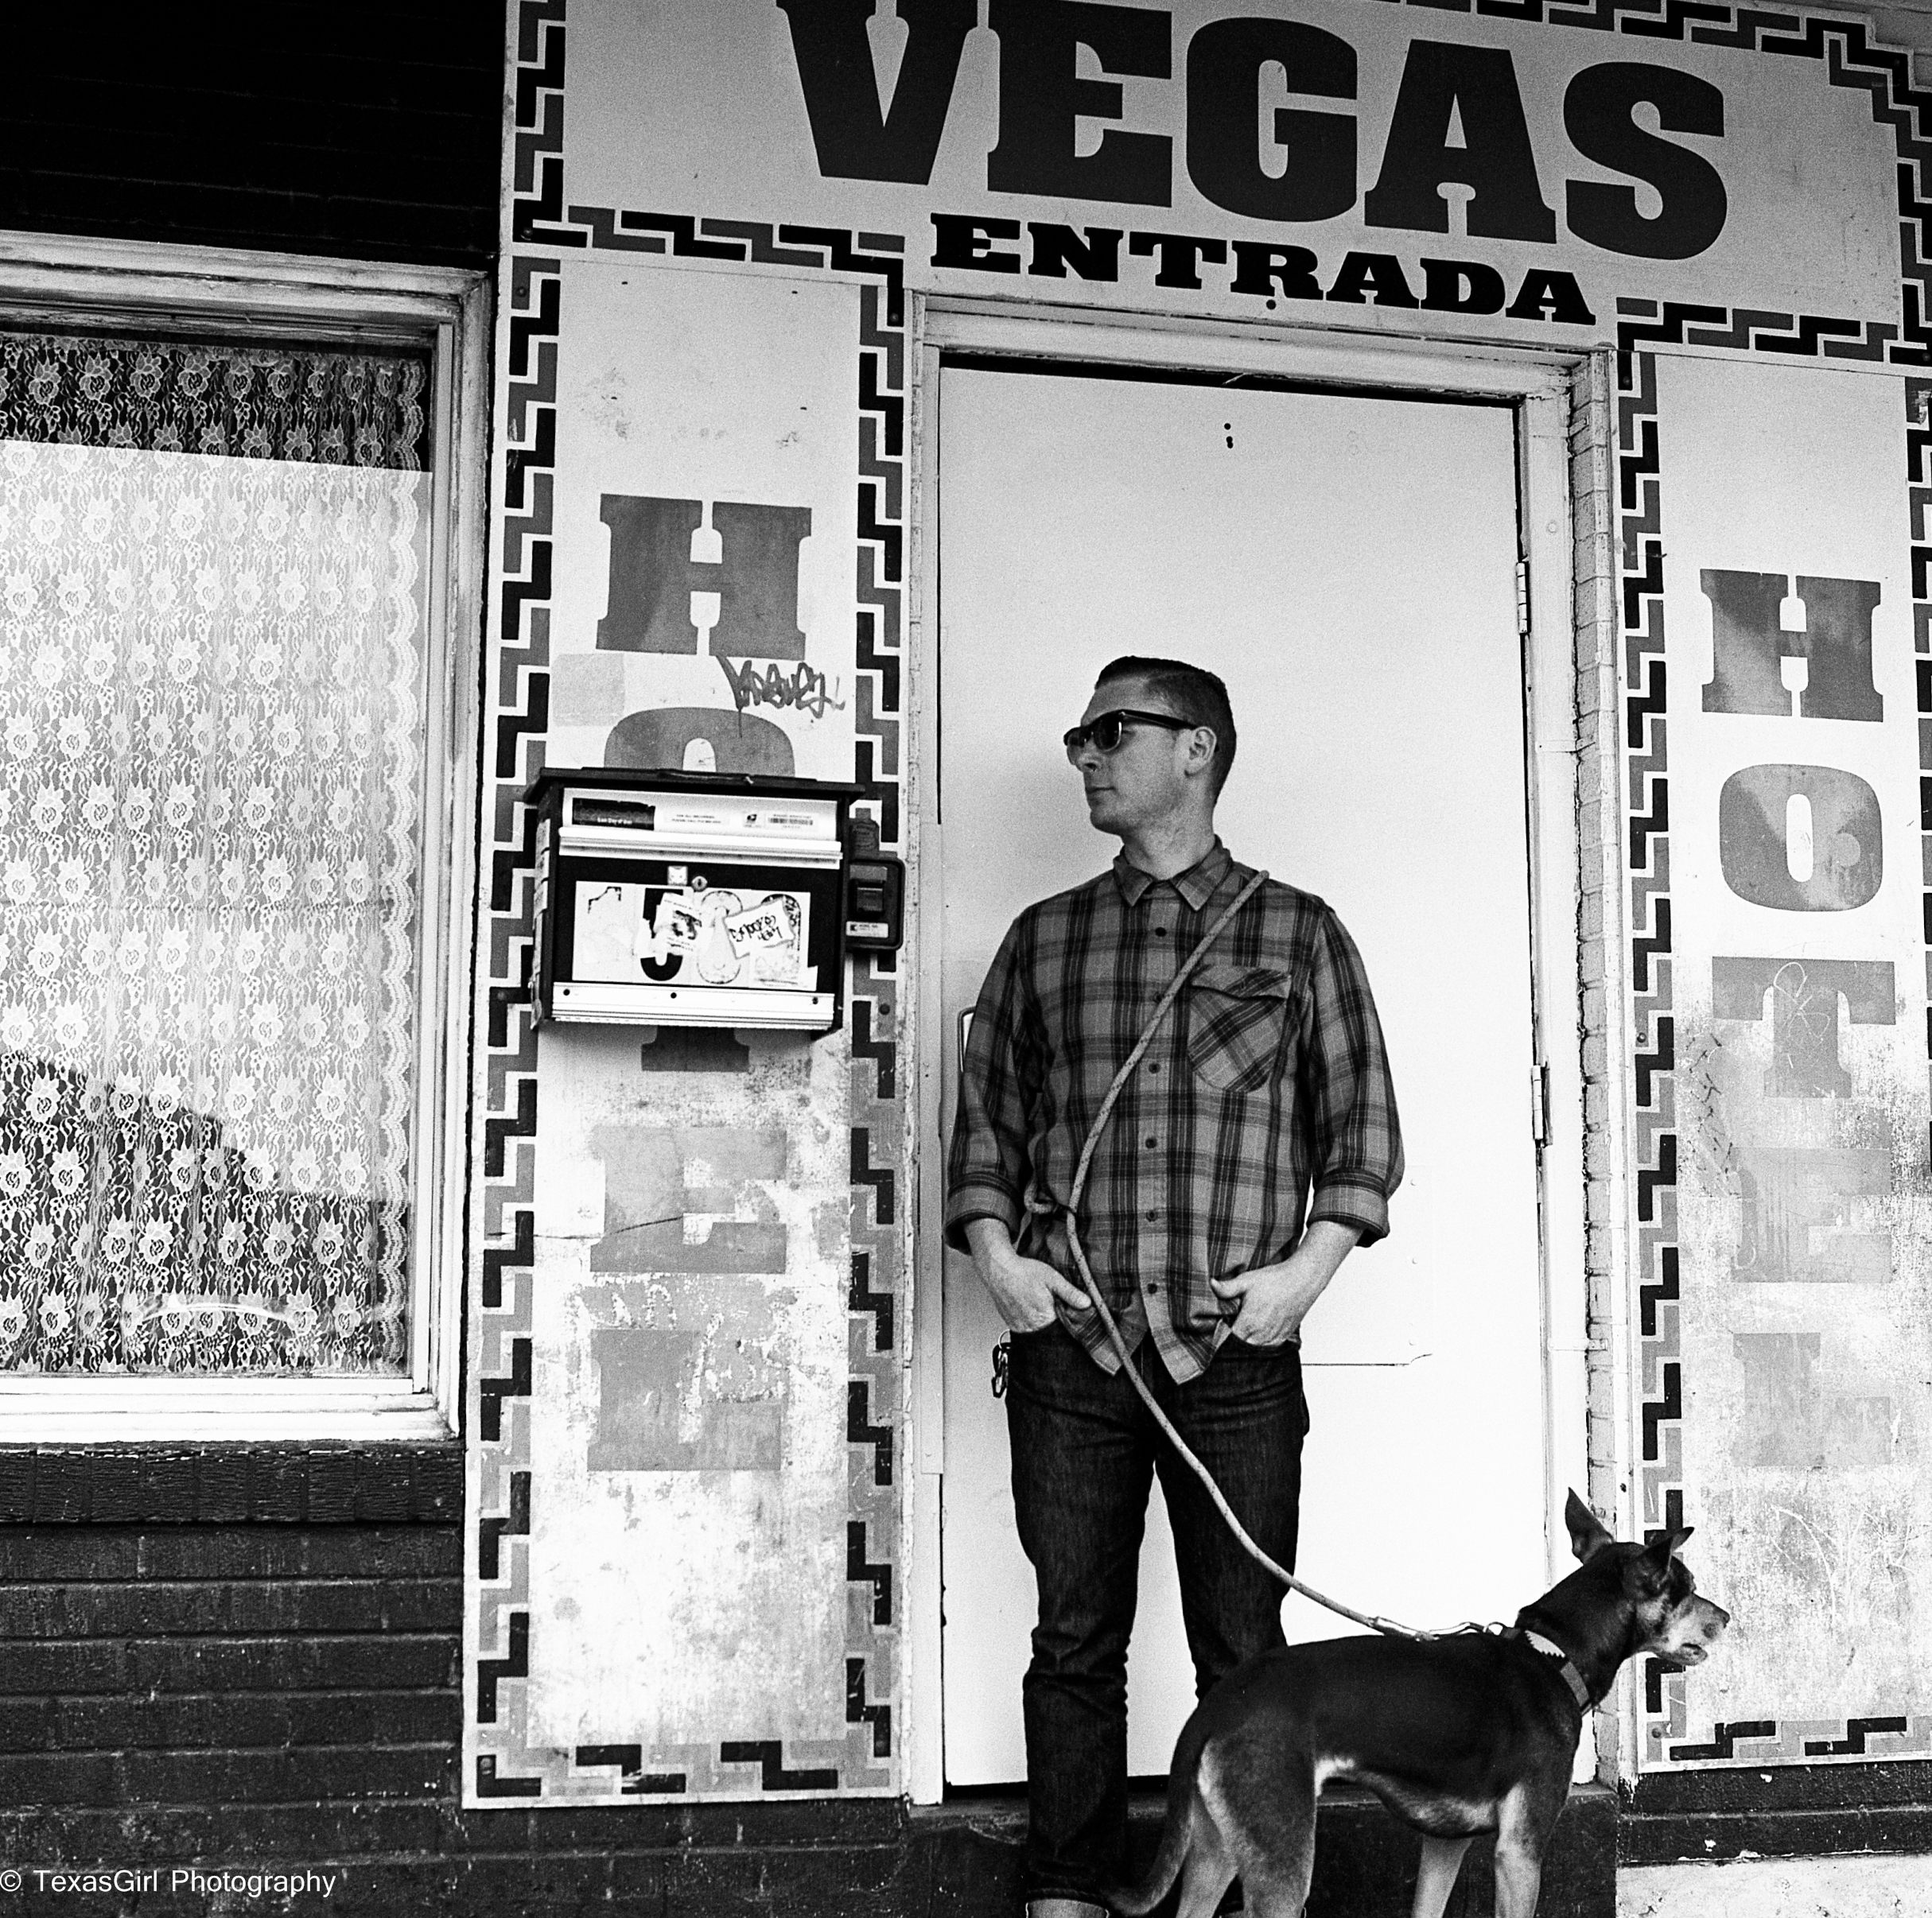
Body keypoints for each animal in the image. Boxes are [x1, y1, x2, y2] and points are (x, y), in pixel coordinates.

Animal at [1113, 1498, 1731, 1916]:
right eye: (1687, 1586)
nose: (1726, 1616)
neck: (1553, 1656)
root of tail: (1217, 1707)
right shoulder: (1519, 1852)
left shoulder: (1443, 1844)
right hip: (1280, 1854)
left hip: (1215, 1849)